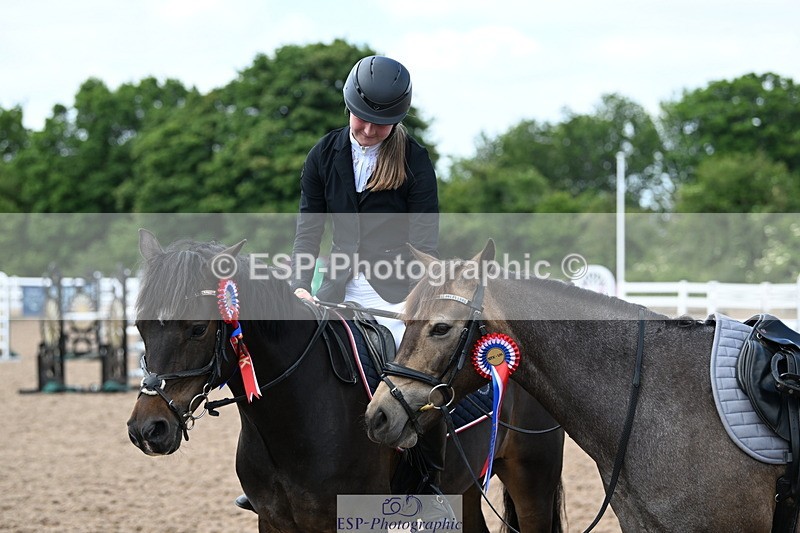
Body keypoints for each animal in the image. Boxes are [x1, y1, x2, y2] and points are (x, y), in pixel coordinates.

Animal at [126, 230, 565, 533]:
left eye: (198, 329)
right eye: (140, 326)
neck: (296, 418)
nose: (147, 429)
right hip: (468, 487)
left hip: (533, 476)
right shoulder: (274, 522)